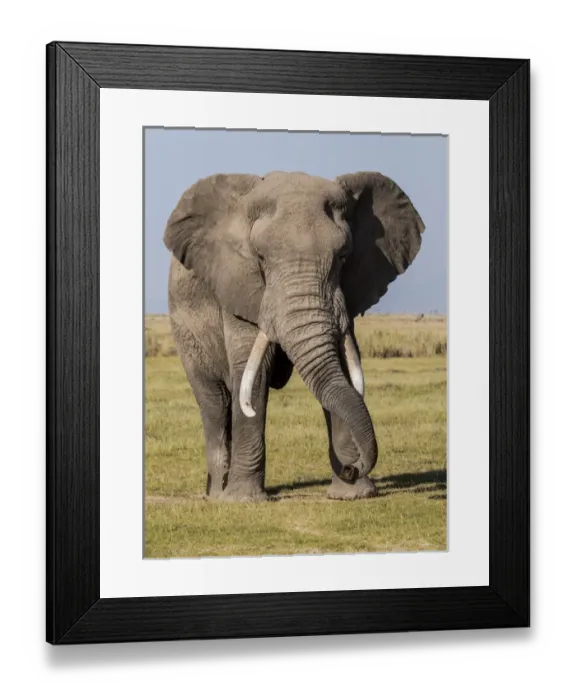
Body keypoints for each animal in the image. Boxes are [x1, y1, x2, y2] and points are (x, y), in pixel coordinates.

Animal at [163, 170, 425, 502]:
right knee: (215, 402)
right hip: (184, 329)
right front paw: (244, 501)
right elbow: (253, 373)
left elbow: (340, 366)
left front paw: (353, 495)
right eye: (260, 258)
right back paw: (218, 494)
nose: (351, 468)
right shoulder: (239, 285)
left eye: (343, 257)